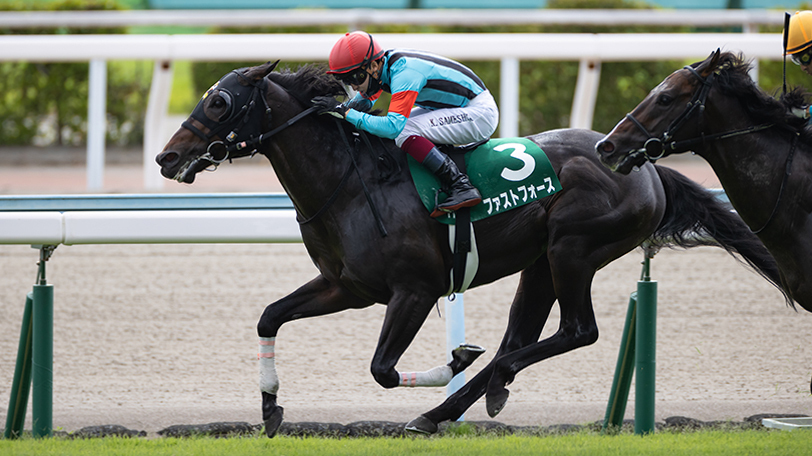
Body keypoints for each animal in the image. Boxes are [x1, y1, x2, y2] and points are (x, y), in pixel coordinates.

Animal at [156, 60, 785, 437]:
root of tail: (643, 163)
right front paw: (270, 408)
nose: (166, 157)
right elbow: (270, 316)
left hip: (574, 249)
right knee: (521, 338)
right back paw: (453, 406)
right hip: (540, 263)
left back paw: (464, 394)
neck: (349, 181)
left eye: (218, 103)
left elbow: (383, 369)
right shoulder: (345, 286)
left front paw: (455, 359)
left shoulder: (413, 290)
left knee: (576, 331)